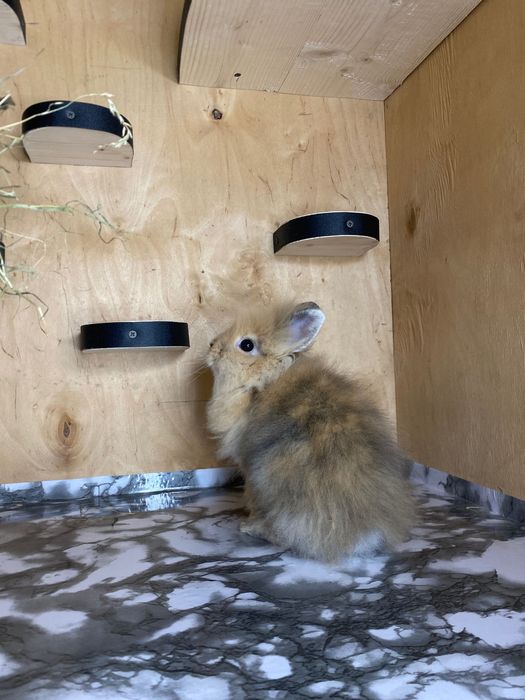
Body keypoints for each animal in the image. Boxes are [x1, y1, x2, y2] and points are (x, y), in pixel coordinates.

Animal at [206, 301, 416, 562]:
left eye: (246, 345)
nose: (212, 346)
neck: (262, 379)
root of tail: (366, 532)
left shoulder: (248, 469)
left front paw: (249, 518)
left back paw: (254, 528)